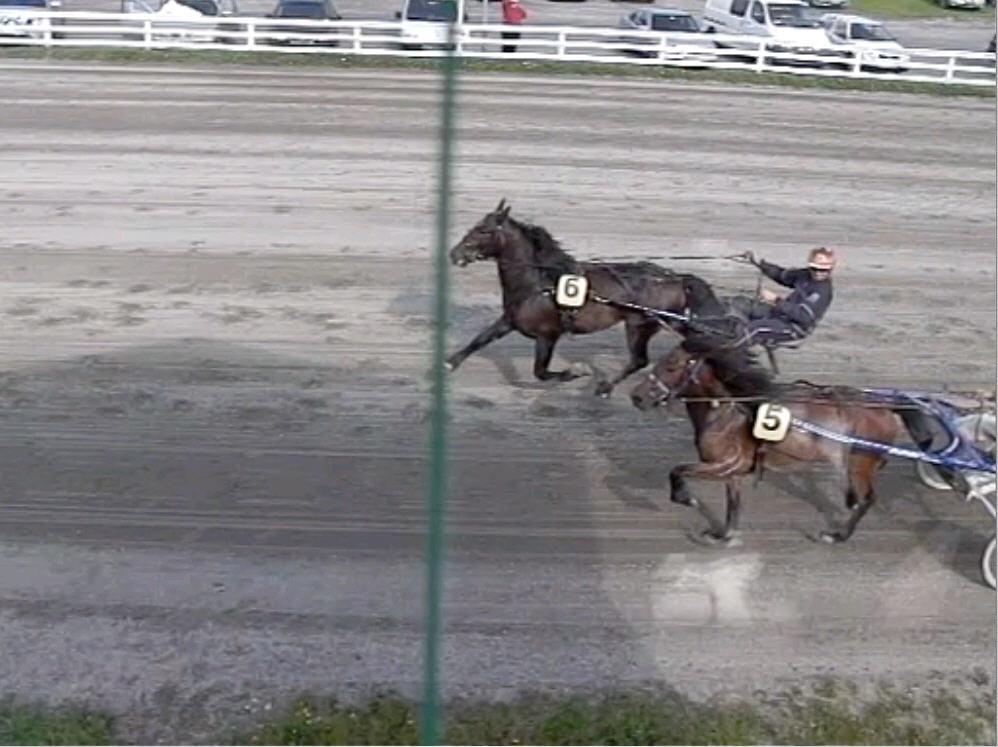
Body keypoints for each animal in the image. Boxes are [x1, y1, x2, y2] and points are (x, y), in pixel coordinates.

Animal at [448, 199, 728, 398]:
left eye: (483, 230)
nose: (454, 254)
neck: (539, 283)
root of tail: (675, 278)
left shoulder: (548, 334)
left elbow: (540, 372)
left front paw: (577, 371)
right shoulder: (510, 320)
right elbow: (480, 340)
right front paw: (449, 364)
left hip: (639, 324)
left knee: (640, 360)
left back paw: (604, 387)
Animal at [628, 334, 932, 544]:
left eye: (671, 366)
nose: (637, 396)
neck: (729, 409)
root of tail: (884, 405)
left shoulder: (723, 463)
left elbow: (677, 470)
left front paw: (687, 499)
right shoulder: (733, 469)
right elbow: (733, 505)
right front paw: (723, 535)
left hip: (860, 462)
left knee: (866, 499)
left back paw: (838, 535)